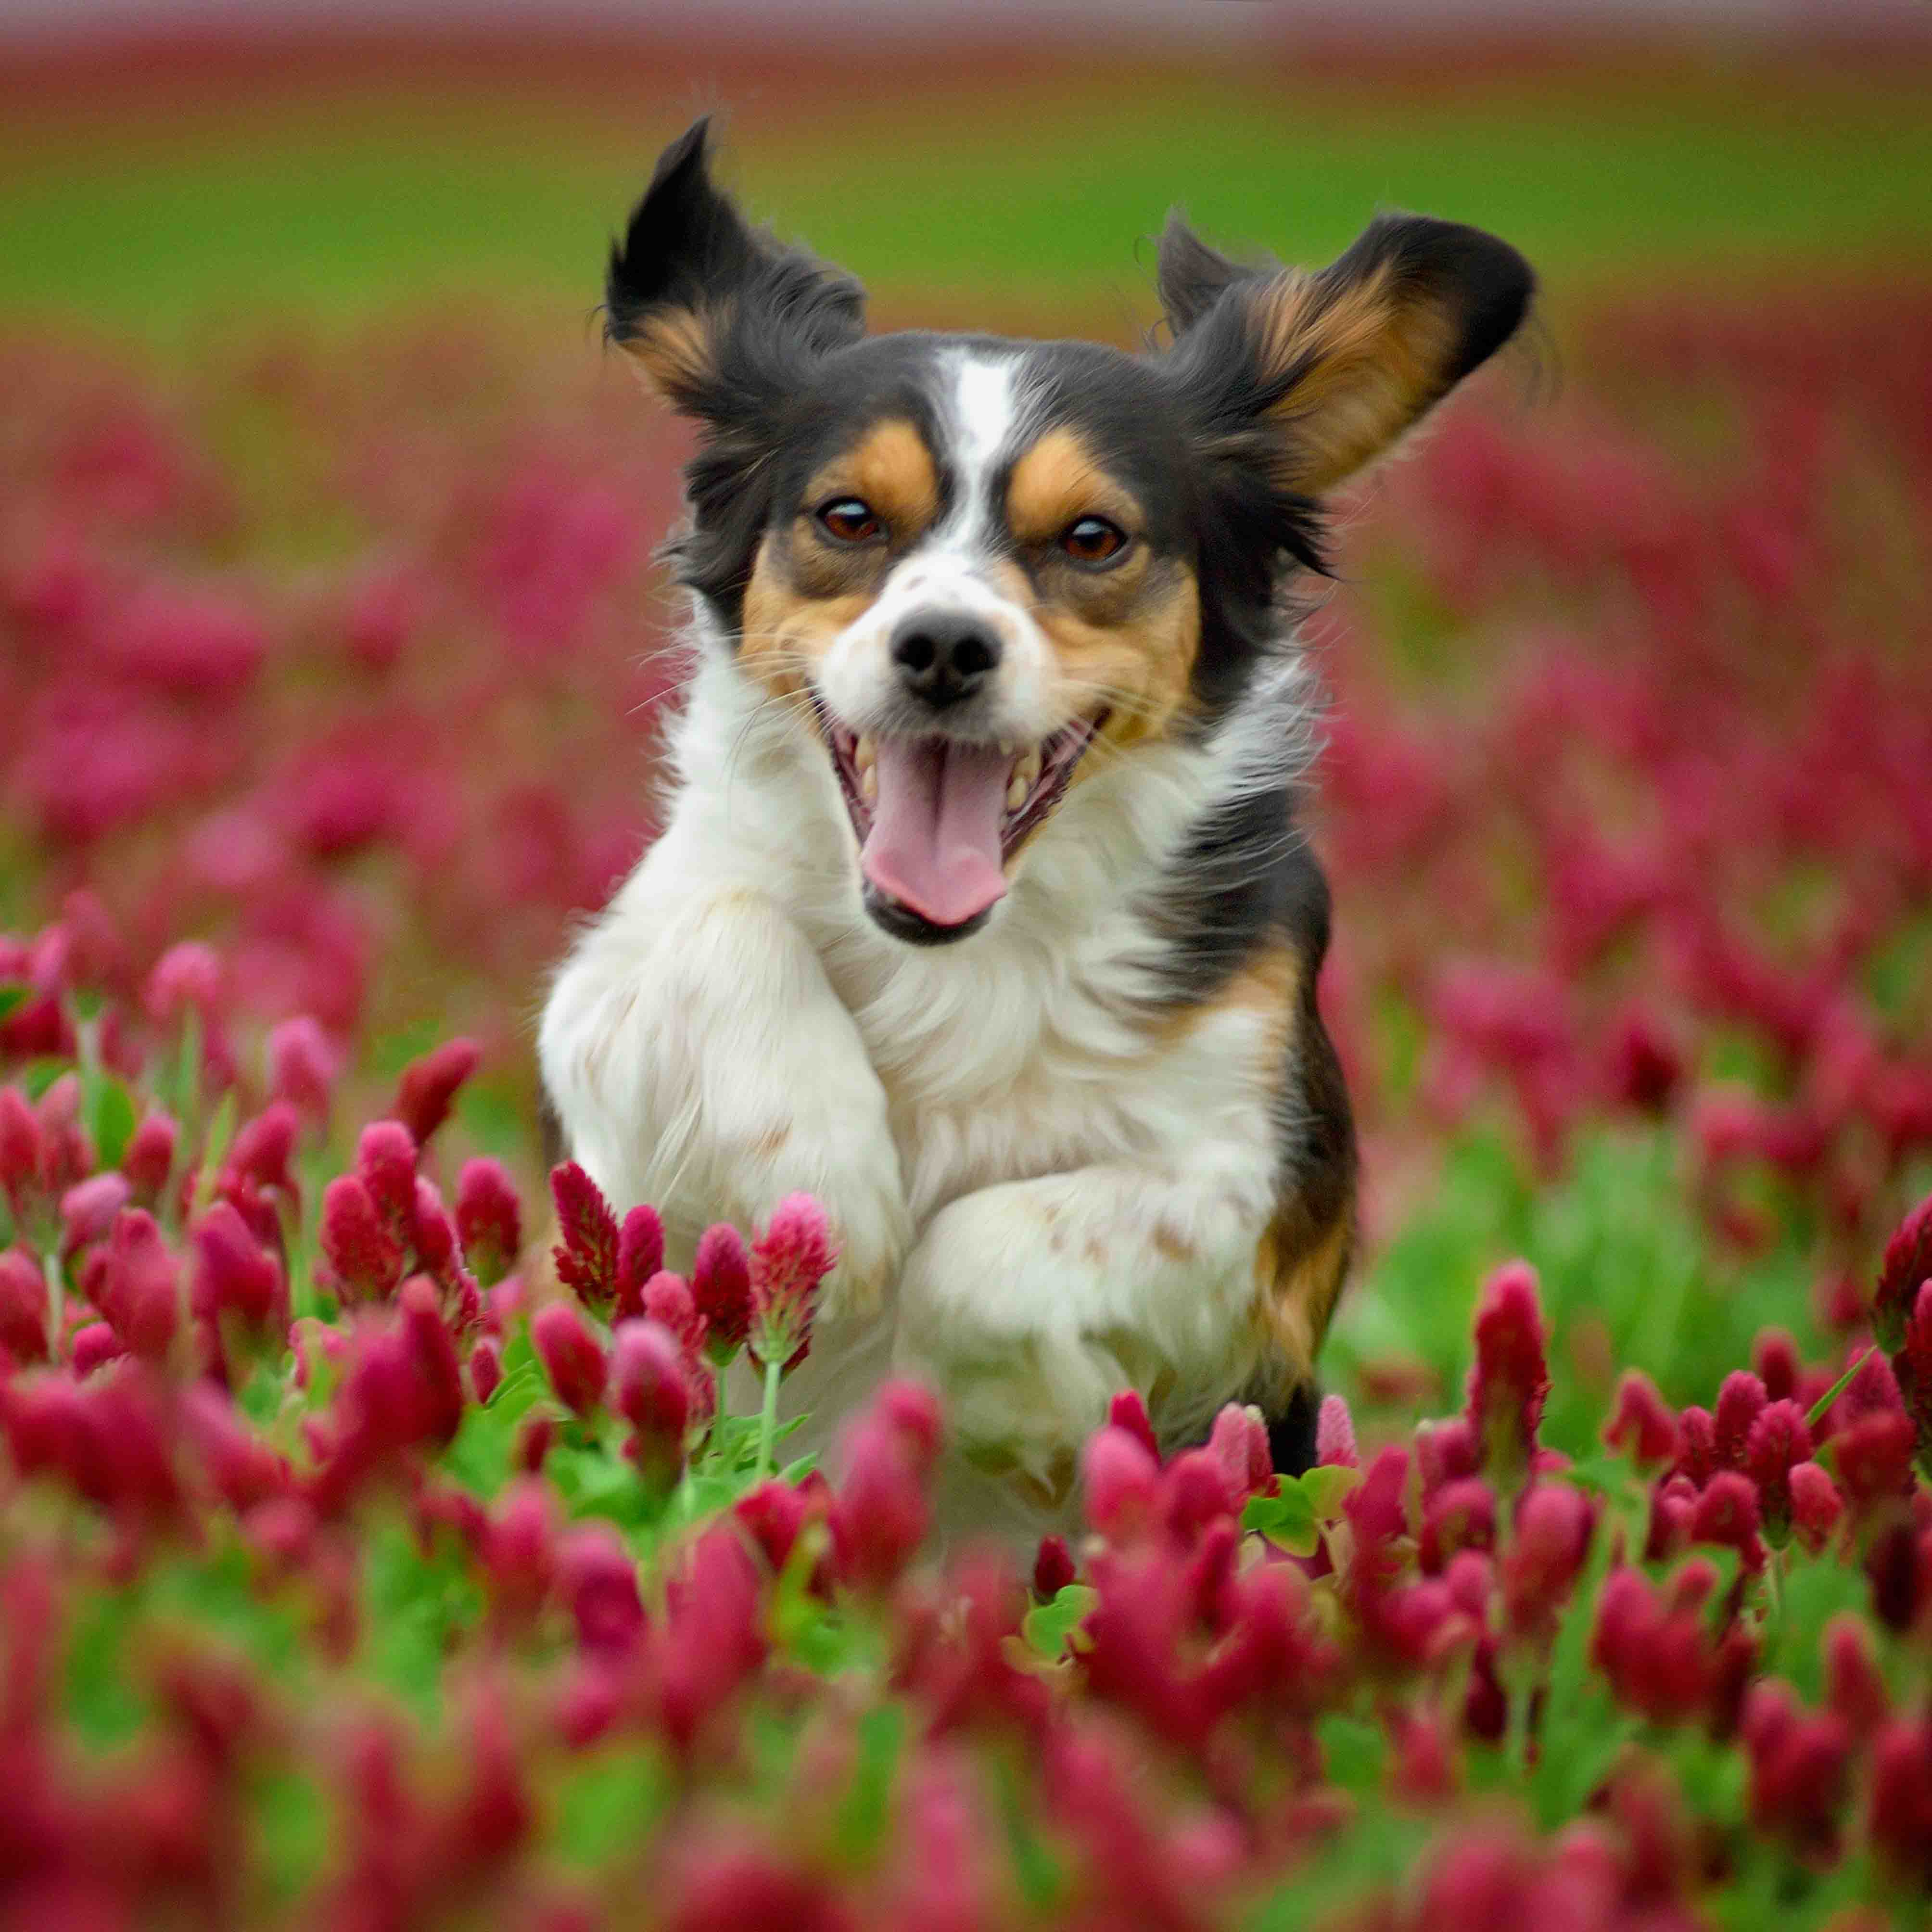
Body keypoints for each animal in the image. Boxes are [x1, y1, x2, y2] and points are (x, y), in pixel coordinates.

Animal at [537, 120, 1530, 1538]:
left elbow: (986, 1249)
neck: (961, 952)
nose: (944, 645)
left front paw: (1022, 1415)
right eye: (848, 517)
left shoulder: (1274, 1192)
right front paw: (821, 1190)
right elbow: (717, 924)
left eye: (1093, 537)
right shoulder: (601, 1066)